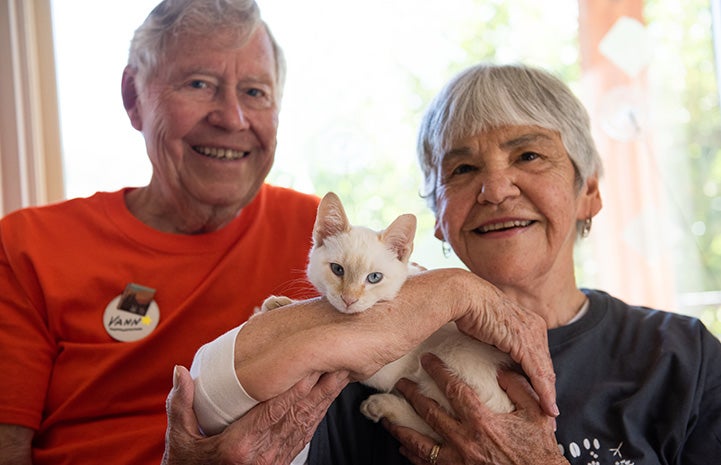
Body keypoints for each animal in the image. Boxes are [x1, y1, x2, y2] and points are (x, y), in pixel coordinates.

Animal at [260, 192, 512, 438]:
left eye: (374, 278)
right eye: (337, 269)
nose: (349, 299)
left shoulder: (384, 369)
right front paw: (277, 304)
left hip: (455, 355)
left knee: (439, 427)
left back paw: (384, 406)